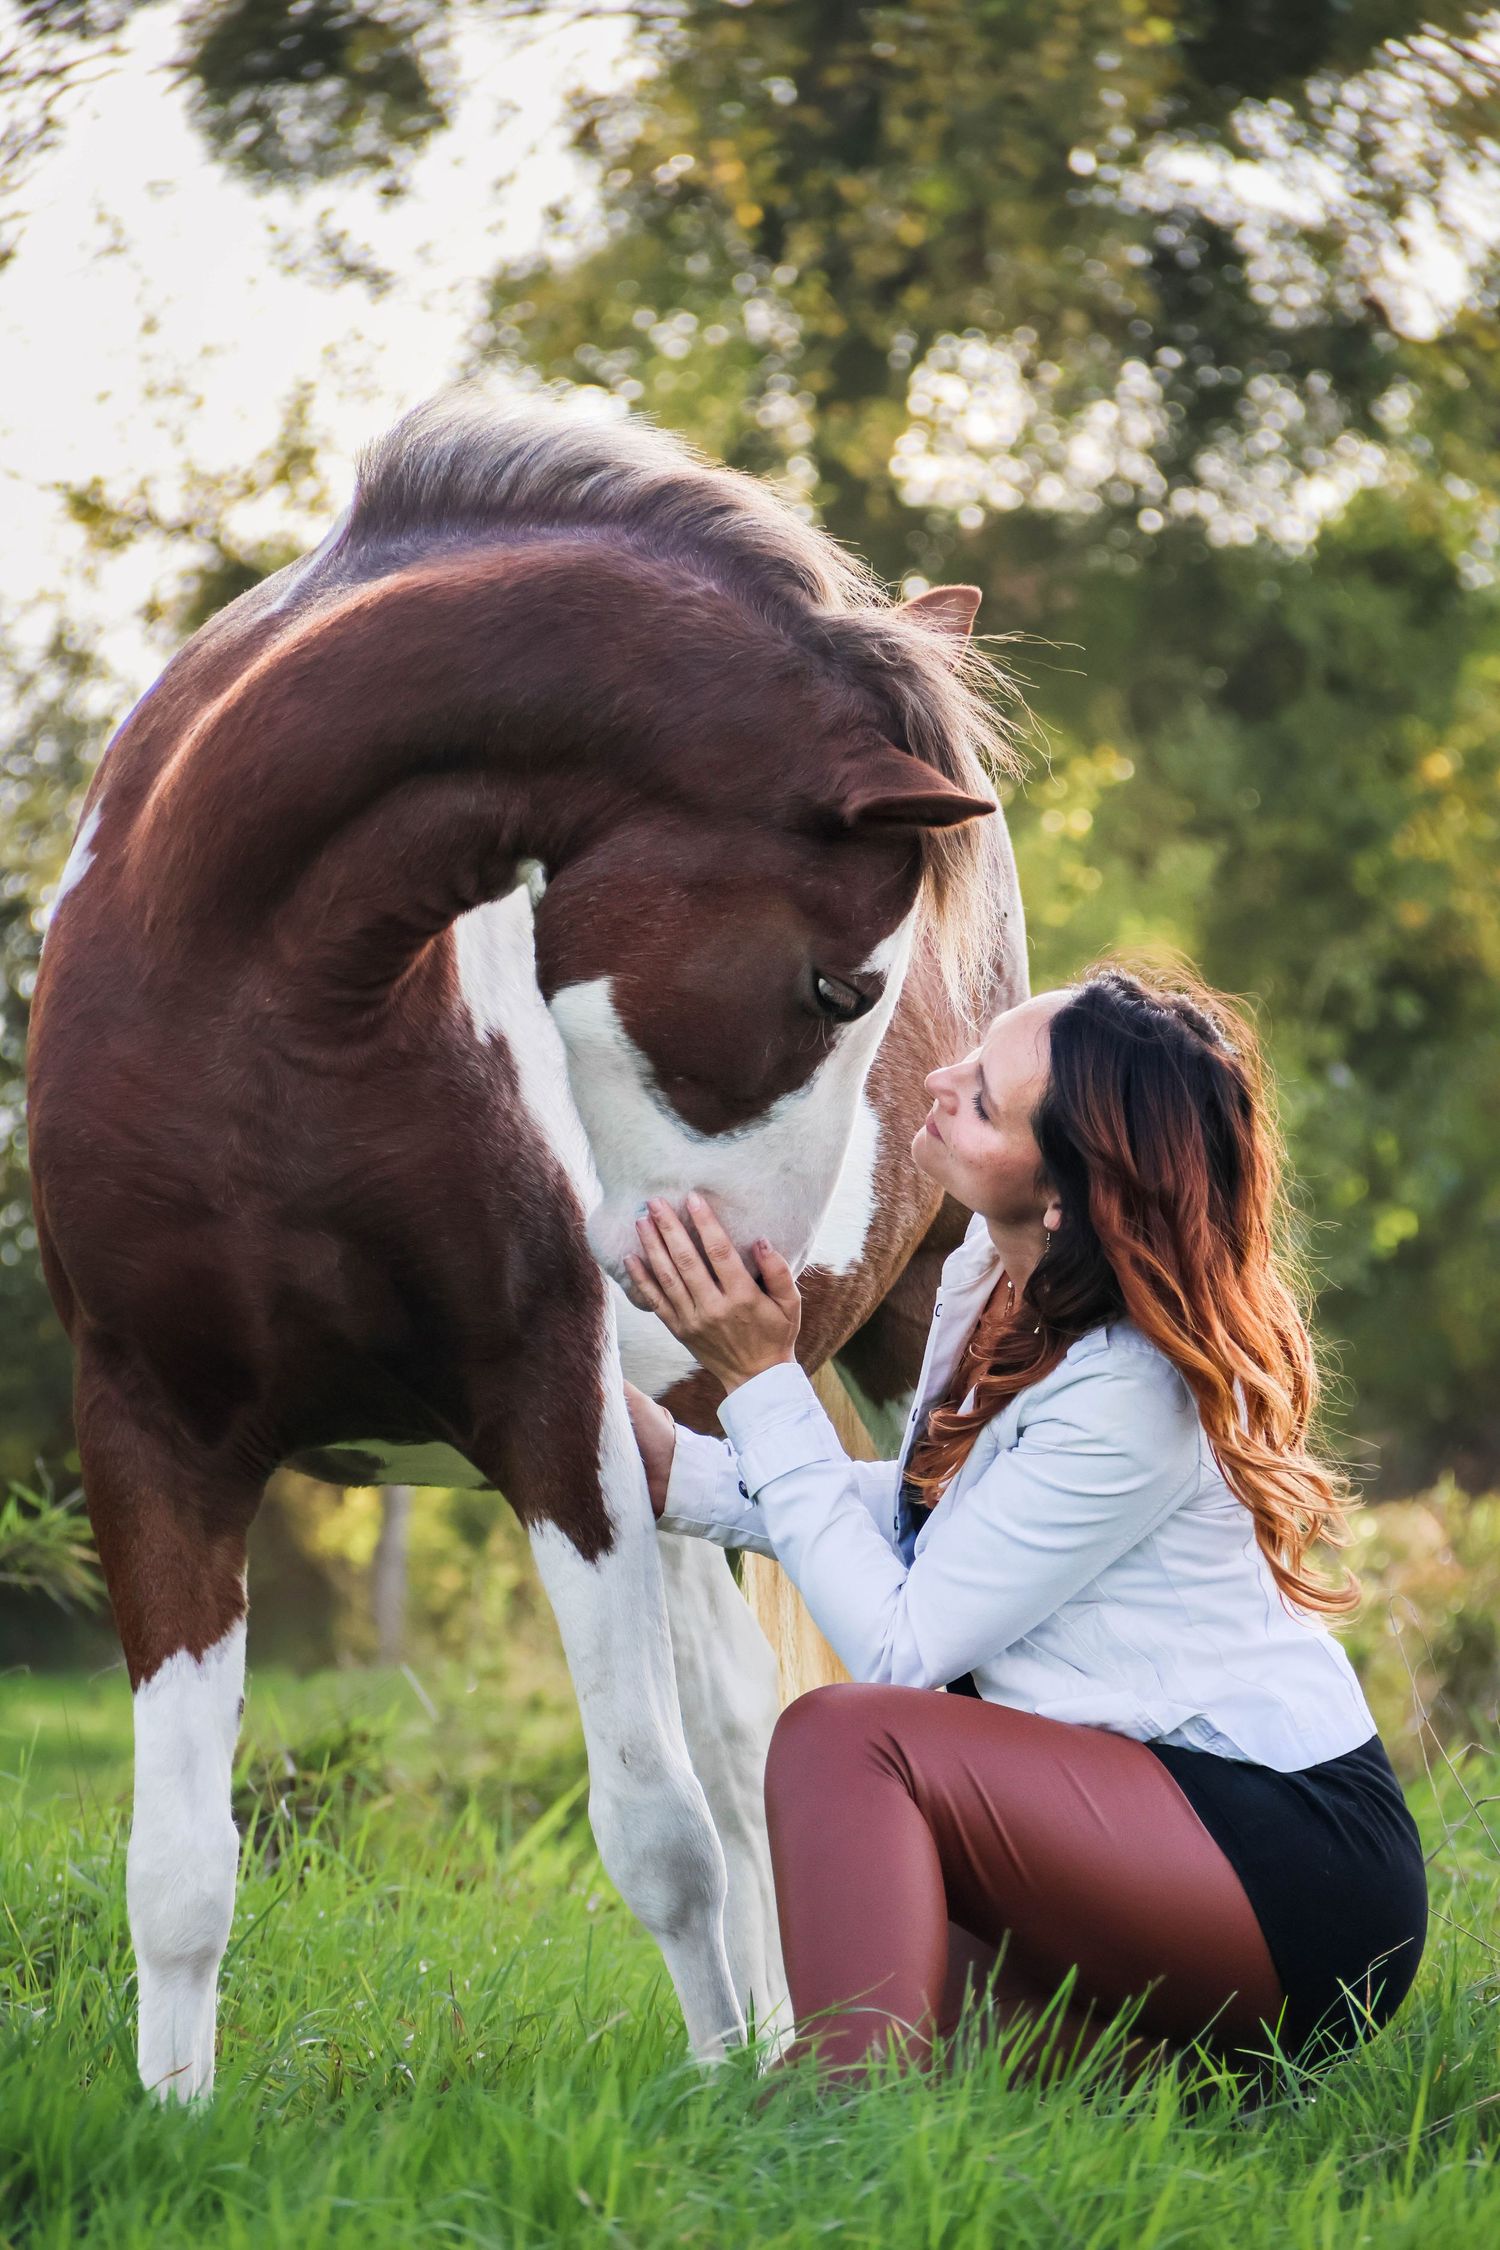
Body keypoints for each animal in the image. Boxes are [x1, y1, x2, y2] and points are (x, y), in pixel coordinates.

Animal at [26, 391, 1025, 2100]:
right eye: (836, 985)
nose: (748, 1288)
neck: (250, 986)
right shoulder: (150, 1429)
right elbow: (178, 1863)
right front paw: (175, 2111)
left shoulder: (552, 1410)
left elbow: (655, 1825)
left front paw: (718, 2093)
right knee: (742, 1718)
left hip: (900, 1363)